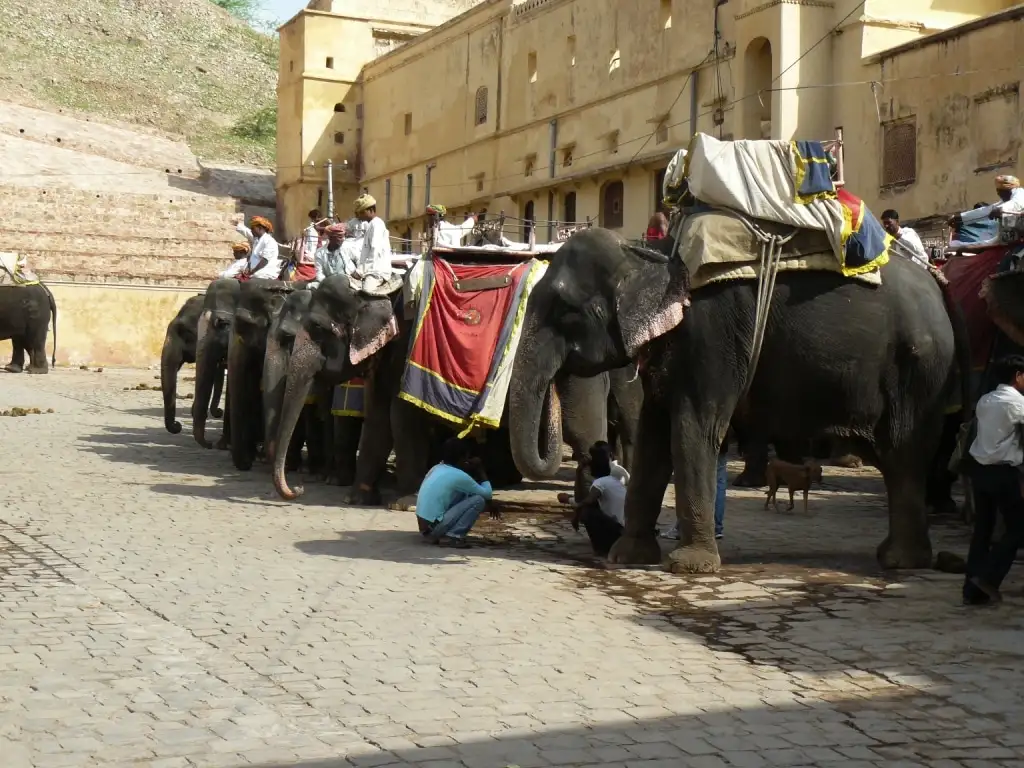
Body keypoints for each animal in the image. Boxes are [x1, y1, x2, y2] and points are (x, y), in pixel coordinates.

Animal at [272, 273, 640, 507]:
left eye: (318, 328)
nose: (297, 489)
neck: (381, 289)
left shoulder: (409, 350)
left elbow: (402, 417)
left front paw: (404, 502)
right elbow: (377, 419)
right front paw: (359, 498)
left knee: (584, 431)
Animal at [507, 226, 970, 573]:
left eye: (565, 309)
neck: (649, 255)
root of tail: (940, 286)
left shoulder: (713, 336)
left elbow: (693, 428)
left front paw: (689, 567)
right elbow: (656, 436)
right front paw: (628, 557)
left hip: (918, 370)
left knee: (903, 453)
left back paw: (900, 561)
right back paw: (899, 557)